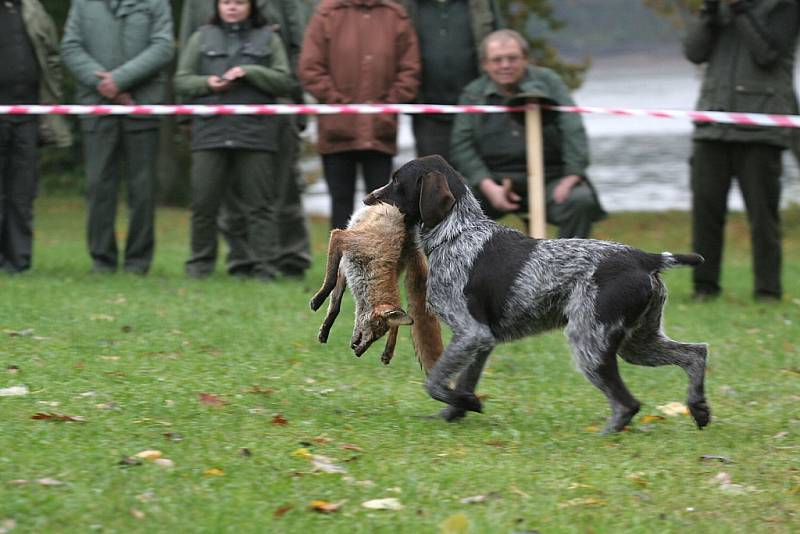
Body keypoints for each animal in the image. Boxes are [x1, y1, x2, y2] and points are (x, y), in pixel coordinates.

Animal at [366, 156, 708, 436]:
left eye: (397, 181)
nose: (368, 199)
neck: (457, 232)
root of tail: (645, 258)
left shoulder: (470, 333)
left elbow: (434, 382)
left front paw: (468, 403)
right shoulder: (482, 341)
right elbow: (462, 382)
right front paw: (456, 410)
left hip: (589, 341)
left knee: (627, 403)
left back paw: (605, 435)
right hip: (637, 343)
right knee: (696, 353)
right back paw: (699, 408)